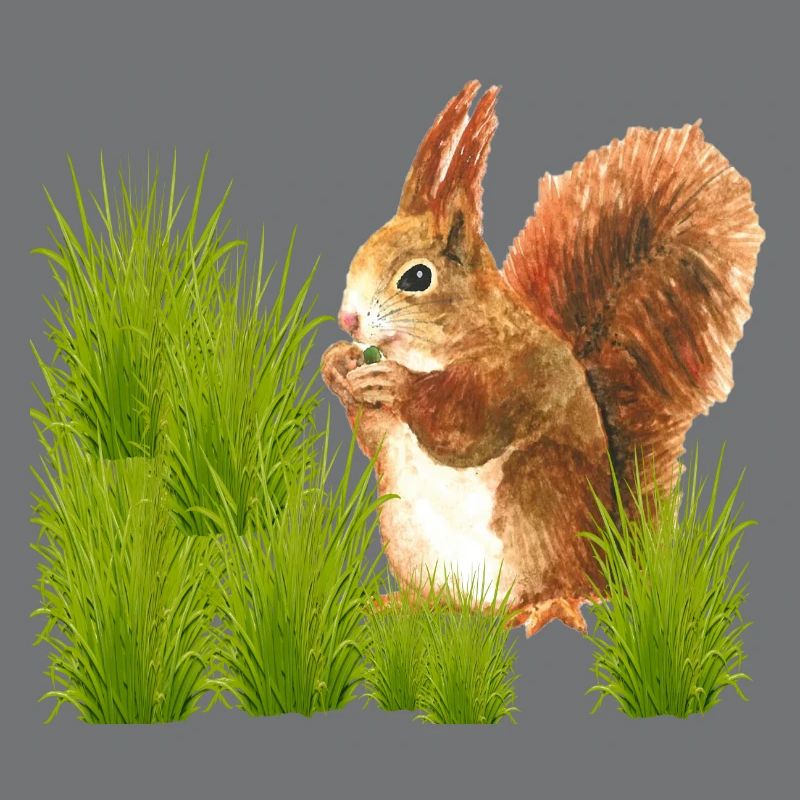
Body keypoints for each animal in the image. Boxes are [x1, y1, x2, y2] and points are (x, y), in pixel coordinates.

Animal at [321, 79, 764, 636]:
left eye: (417, 277)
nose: (348, 320)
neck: (436, 346)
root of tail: (609, 564)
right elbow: (374, 437)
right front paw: (337, 366)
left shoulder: (518, 374)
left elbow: (464, 425)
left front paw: (395, 383)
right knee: (445, 601)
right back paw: (405, 604)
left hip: (537, 498)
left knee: (559, 588)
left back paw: (545, 606)